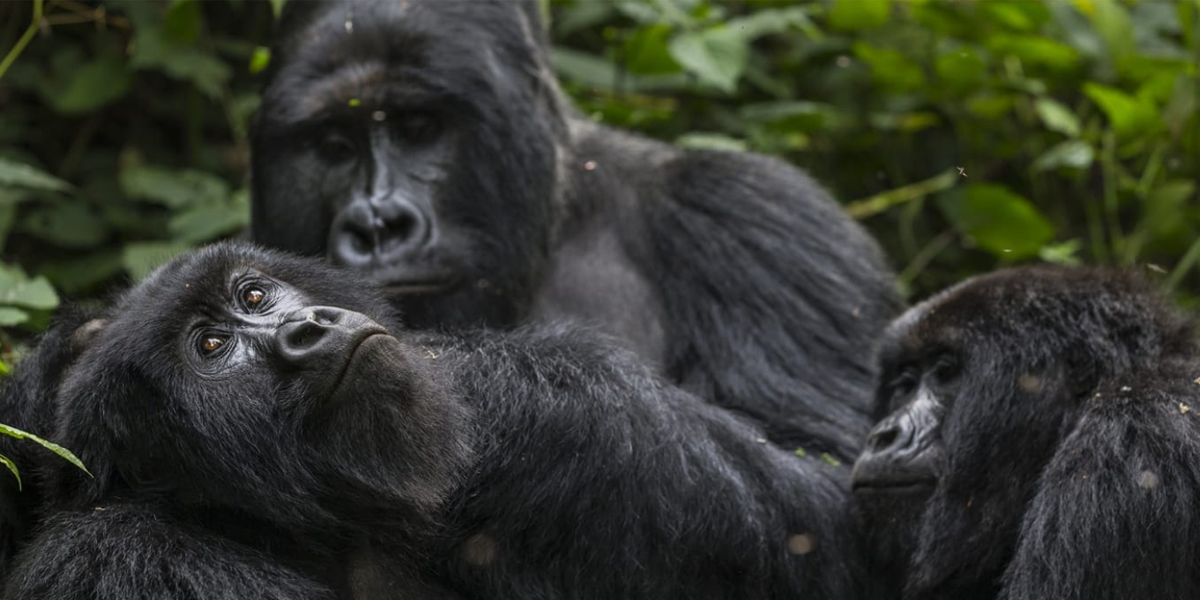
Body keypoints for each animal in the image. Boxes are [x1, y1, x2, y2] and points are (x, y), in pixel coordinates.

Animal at [4, 242, 878, 600]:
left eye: (254, 293)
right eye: (212, 347)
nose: (304, 329)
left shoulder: (603, 428)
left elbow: (823, 522)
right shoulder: (123, 558)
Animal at [250, 1, 902, 458]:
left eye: (418, 128)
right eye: (334, 146)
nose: (378, 225)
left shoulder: (760, 219)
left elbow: (823, 469)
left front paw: (484, 387)